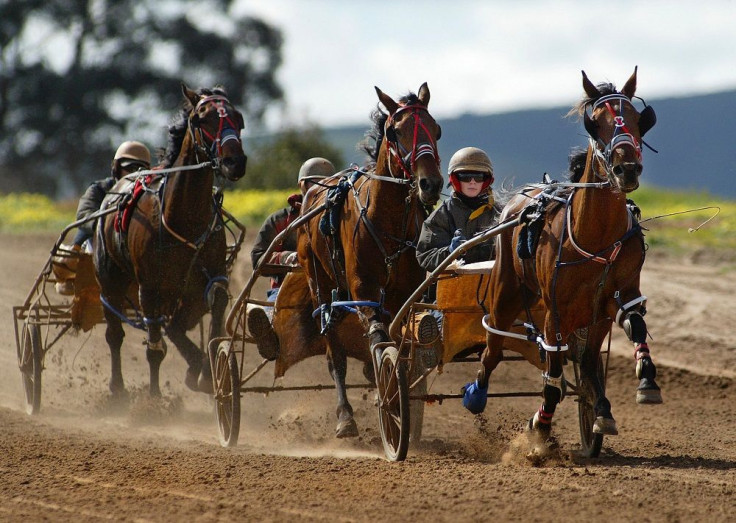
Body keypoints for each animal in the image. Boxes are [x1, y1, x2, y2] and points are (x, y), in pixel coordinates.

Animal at [93, 85, 244, 398]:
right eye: (201, 119)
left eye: (238, 118)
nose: (234, 161)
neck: (184, 217)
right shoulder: (150, 288)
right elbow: (155, 348)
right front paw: (154, 399)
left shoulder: (211, 277)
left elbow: (214, 307)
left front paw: (207, 374)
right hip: (111, 282)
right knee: (115, 334)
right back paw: (118, 390)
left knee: (173, 326)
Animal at [294, 84, 442, 438]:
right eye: (394, 131)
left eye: (437, 130)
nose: (430, 184)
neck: (387, 223)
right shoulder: (364, 288)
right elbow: (378, 338)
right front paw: (387, 398)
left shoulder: (406, 293)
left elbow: (403, 342)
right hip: (319, 282)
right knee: (335, 354)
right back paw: (346, 417)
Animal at [460, 66, 660, 442]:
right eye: (595, 123)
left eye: (639, 120)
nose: (627, 169)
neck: (596, 237)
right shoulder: (555, 312)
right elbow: (552, 382)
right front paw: (539, 427)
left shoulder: (617, 297)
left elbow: (634, 325)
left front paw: (644, 381)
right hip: (505, 294)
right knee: (492, 348)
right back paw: (476, 394)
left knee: (587, 359)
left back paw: (599, 405)